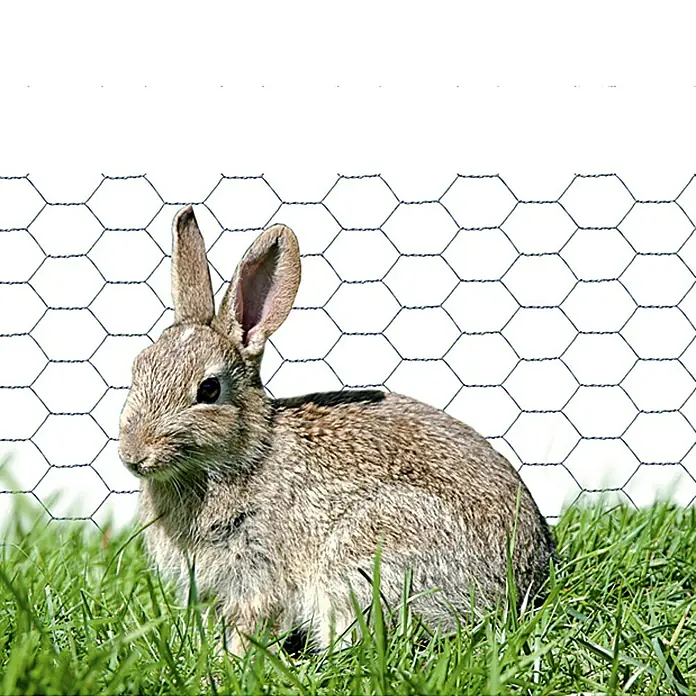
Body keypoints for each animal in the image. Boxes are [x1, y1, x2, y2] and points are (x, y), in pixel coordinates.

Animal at [118, 205, 555, 655]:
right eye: (139, 367)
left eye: (208, 390)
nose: (133, 455)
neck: (247, 455)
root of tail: (523, 583)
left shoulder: (259, 569)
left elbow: (253, 619)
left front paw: (232, 660)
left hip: (368, 550)